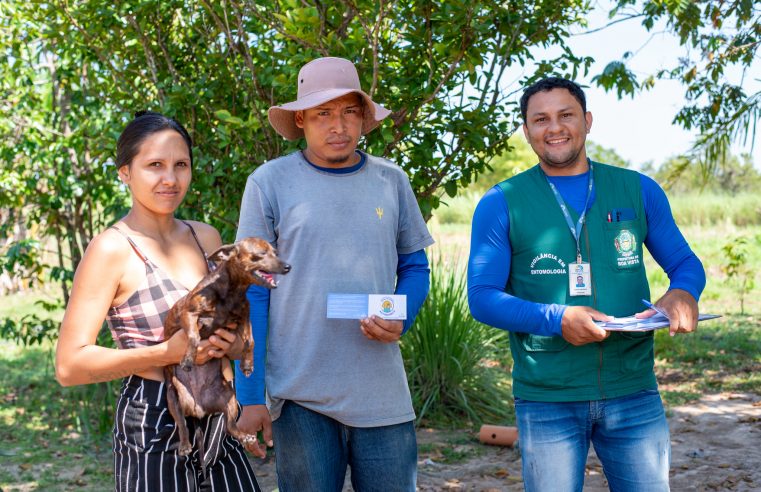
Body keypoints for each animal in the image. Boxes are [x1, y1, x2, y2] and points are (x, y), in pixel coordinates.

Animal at [162, 236, 290, 464]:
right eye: (260, 255)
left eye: (276, 252)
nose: (287, 266)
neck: (232, 292)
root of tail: (199, 409)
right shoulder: (189, 314)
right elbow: (194, 336)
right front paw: (188, 358)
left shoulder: (244, 319)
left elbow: (251, 342)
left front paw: (247, 365)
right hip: (173, 399)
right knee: (182, 425)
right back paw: (185, 445)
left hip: (229, 399)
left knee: (230, 427)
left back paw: (245, 436)